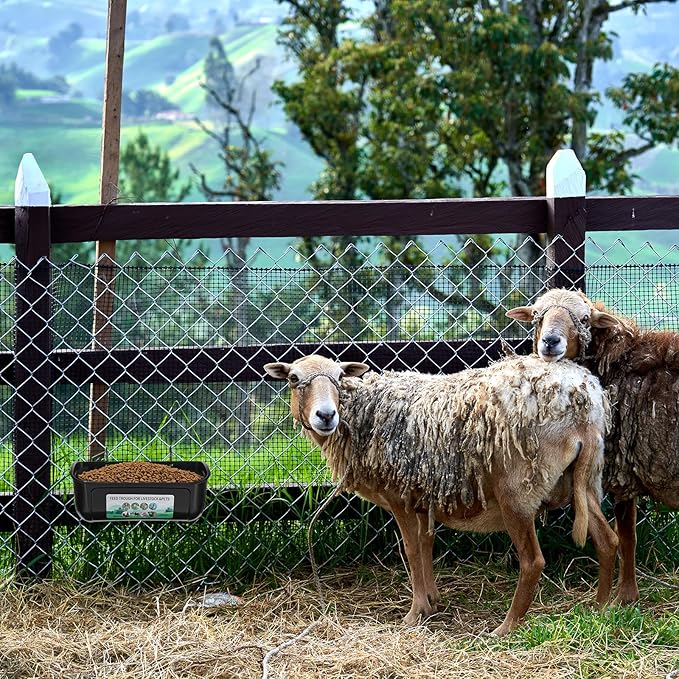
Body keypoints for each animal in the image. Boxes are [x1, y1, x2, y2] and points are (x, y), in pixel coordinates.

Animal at [264, 353, 618, 635]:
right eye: (294, 379)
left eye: (339, 377)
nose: (326, 416)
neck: (362, 416)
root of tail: (583, 402)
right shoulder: (423, 499)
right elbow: (426, 545)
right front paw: (432, 601)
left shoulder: (400, 497)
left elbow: (411, 550)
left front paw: (414, 613)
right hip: (585, 479)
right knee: (607, 540)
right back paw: (599, 609)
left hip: (518, 490)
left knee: (533, 561)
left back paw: (506, 627)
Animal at [507, 287, 679, 603]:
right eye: (537, 314)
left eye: (585, 319)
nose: (550, 342)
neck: (616, 363)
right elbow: (628, 535)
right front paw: (628, 594)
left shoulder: (620, 469)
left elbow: (627, 535)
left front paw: (625, 595)